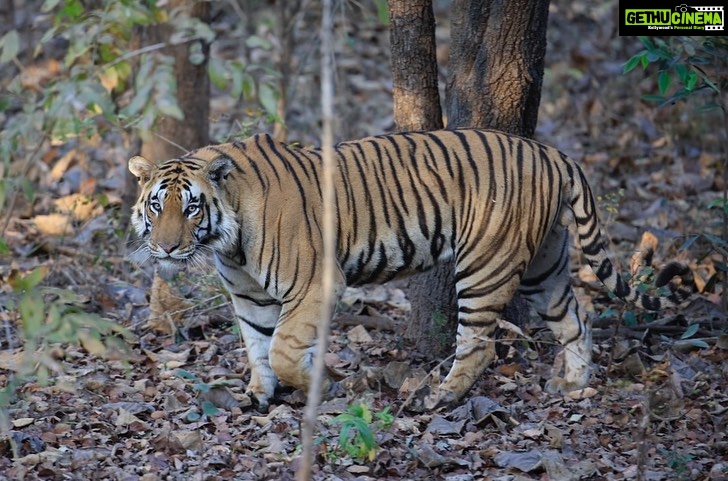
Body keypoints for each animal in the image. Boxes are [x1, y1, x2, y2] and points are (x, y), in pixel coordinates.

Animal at [131, 127, 692, 408]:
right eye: (157, 206)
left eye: (192, 208)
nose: (165, 248)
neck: (228, 243)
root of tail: (554, 153)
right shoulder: (249, 296)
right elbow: (257, 346)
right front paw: (259, 394)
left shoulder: (316, 285)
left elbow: (285, 348)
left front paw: (324, 383)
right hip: (545, 264)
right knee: (577, 317)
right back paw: (572, 385)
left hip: (486, 265)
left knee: (480, 343)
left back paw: (441, 398)